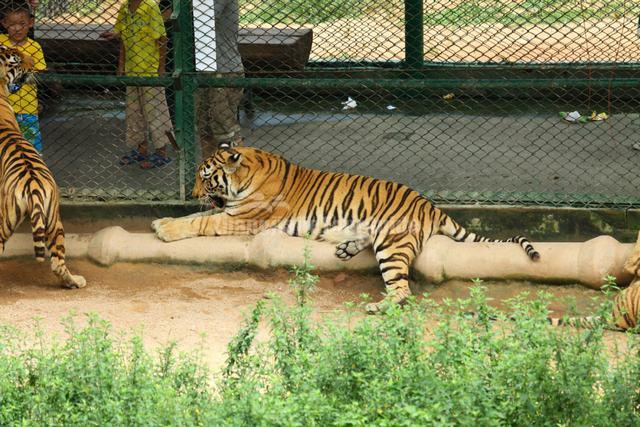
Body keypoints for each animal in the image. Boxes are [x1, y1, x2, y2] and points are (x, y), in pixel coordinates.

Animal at [0, 45, 85, 290]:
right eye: (17, 61)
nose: (34, 64)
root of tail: (33, 186)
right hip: (53, 218)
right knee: (57, 262)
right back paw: (75, 282)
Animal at [152, 148, 536, 314]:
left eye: (204, 177)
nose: (194, 193)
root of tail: (429, 205)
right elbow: (199, 217)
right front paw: (164, 222)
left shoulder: (242, 217)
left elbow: (200, 221)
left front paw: (164, 228)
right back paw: (346, 249)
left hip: (392, 243)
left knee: (402, 290)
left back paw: (378, 308)